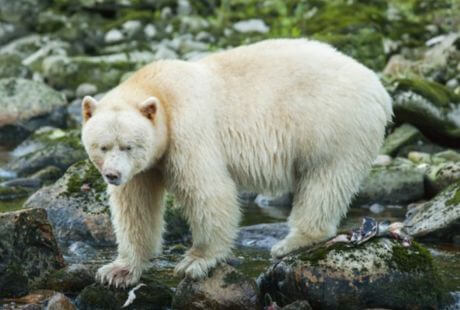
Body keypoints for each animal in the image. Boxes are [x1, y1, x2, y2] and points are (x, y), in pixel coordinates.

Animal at [81, 39, 390, 288]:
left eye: (128, 146)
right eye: (102, 146)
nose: (112, 175)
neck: (160, 90)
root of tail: (379, 89)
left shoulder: (188, 131)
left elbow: (208, 191)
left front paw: (195, 261)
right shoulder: (143, 168)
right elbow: (136, 206)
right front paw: (117, 271)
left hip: (333, 124)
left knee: (324, 180)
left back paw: (292, 242)